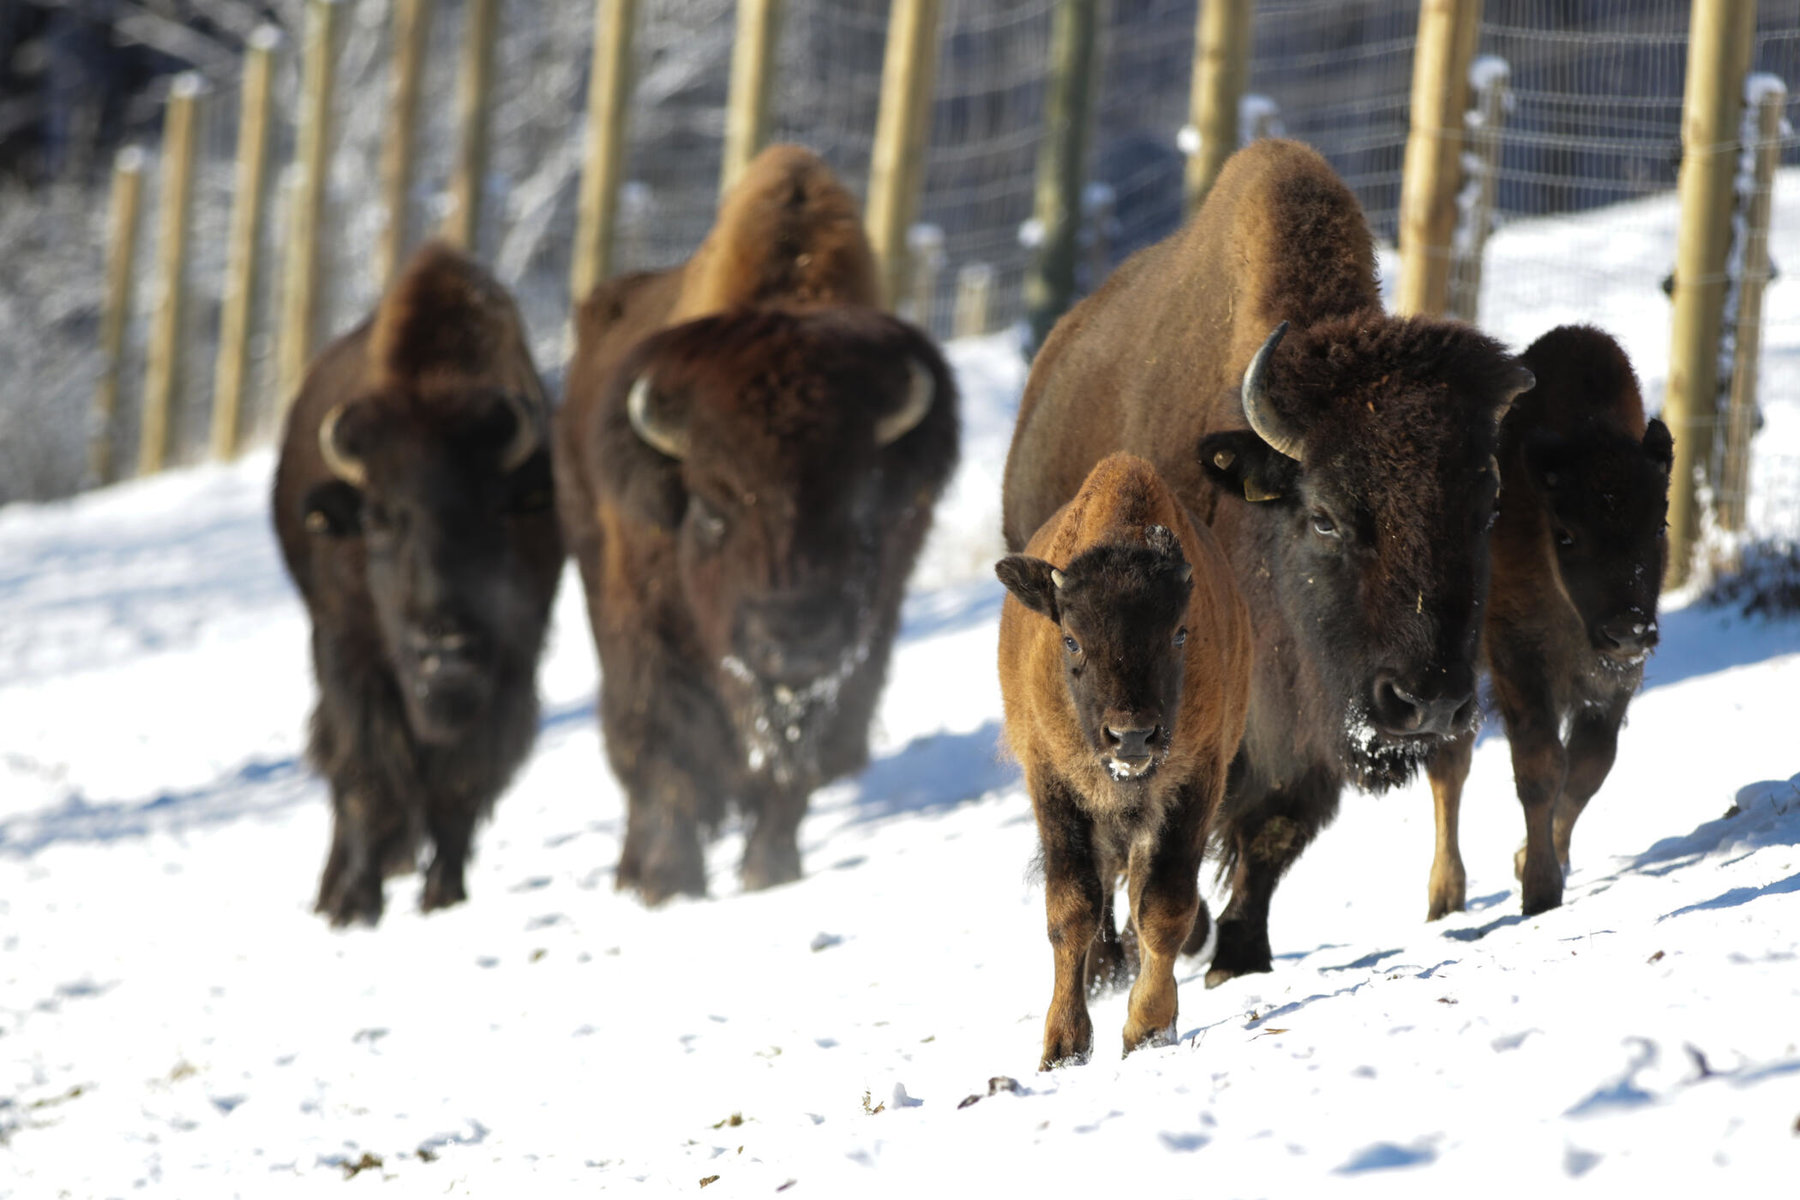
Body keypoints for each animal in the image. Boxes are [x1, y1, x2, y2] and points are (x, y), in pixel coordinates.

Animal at [268, 239, 554, 928]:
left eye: (495, 508)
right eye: (378, 518)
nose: (444, 646)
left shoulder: (512, 660)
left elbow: (462, 780)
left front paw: (443, 893)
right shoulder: (349, 653)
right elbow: (367, 775)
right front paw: (353, 905)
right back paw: (337, 887)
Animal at [558, 145, 957, 906]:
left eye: (861, 507)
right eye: (712, 512)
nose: (791, 643)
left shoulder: (862, 646)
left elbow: (792, 769)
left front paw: (770, 872)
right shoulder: (650, 633)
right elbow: (666, 754)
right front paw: (669, 884)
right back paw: (635, 870)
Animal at [1000, 453, 1252, 1072]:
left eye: (1180, 632)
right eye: (1070, 639)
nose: (1132, 736)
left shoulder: (1196, 782)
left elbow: (1164, 905)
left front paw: (1148, 1029)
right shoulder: (1053, 784)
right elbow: (1071, 908)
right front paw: (1063, 1048)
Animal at [1008, 138, 1526, 985]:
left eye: (1486, 508)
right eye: (1324, 516)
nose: (1428, 705)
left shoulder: (1295, 745)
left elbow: (1268, 836)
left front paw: (1239, 956)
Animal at [1425, 323, 1677, 913]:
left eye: (1659, 525)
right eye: (1566, 533)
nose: (1628, 630)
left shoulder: (1613, 684)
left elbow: (1588, 767)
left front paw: (1530, 862)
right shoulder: (1519, 664)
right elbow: (1540, 765)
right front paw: (1540, 890)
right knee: (1450, 763)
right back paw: (1444, 896)